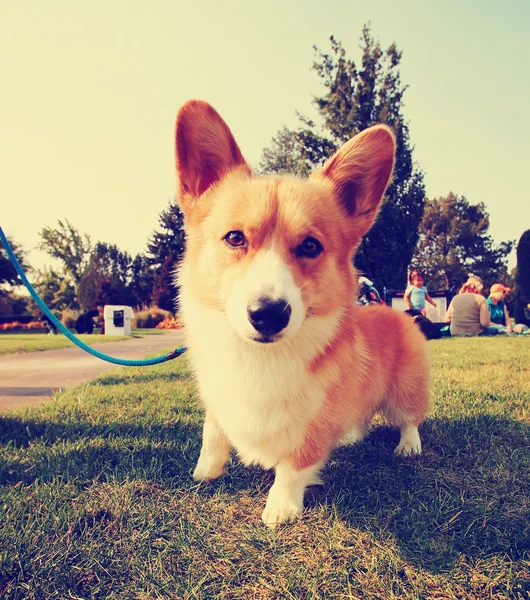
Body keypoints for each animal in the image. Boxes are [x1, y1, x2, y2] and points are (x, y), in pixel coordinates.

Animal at [173, 101, 428, 528]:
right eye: (235, 238)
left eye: (310, 246)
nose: (268, 315)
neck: (258, 358)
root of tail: (392, 310)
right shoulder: (217, 394)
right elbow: (213, 430)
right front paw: (206, 470)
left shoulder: (313, 426)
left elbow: (296, 464)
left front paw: (281, 508)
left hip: (405, 391)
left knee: (409, 419)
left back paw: (408, 446)